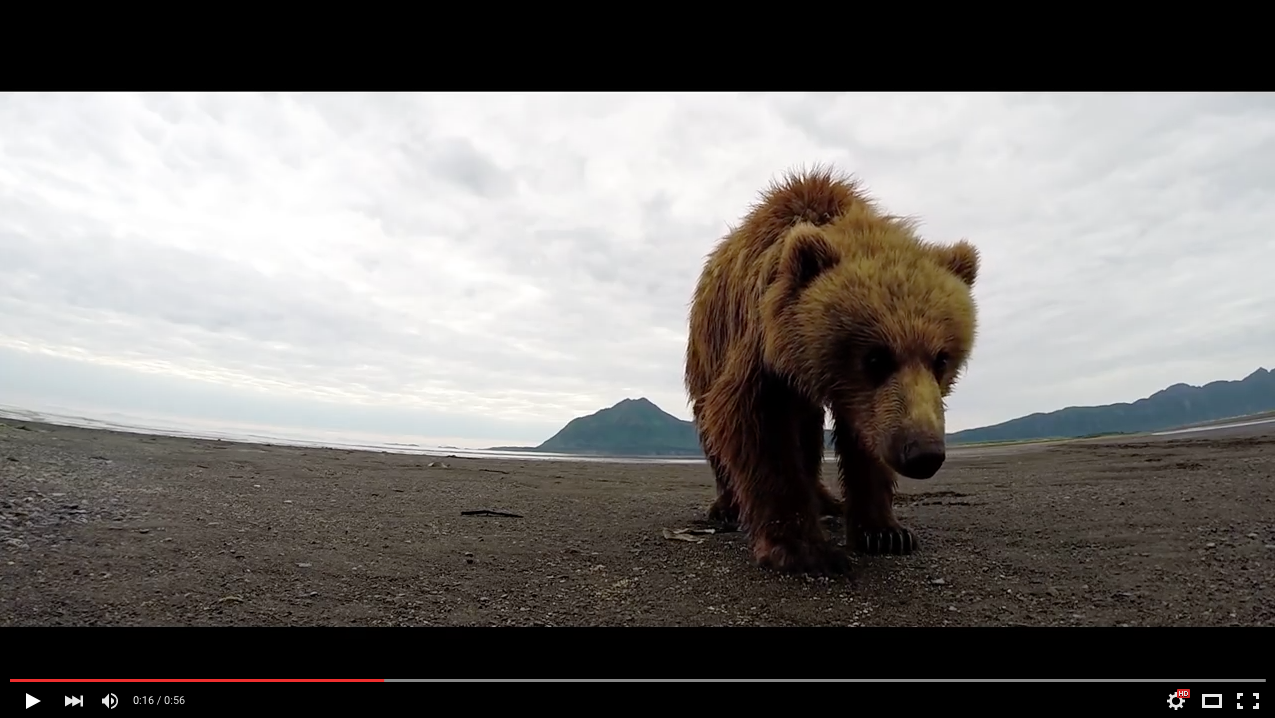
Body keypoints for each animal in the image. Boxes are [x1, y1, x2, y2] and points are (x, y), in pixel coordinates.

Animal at [684, 165, 979, 576]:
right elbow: (755, 425)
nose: (923, 453)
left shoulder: (862, 402)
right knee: (712, 428)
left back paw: (826, 500)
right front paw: (801, 548)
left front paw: (885, 532)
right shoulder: (761, 349)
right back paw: (727, 507)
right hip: (705, 353)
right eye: (876, 358)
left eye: (941, 359)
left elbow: (862, 441)